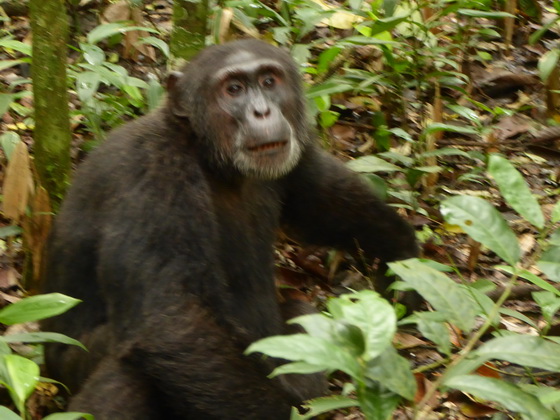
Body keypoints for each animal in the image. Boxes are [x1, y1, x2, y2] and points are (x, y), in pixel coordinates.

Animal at [43, 37, 418, 418]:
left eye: (269, 81)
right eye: (234, 89)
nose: (262, 112)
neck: (210, 157)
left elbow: (322, 202)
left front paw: (404, 264)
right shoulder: (151, 175)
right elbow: (172, 319)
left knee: (301, 311)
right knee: (129, 370)